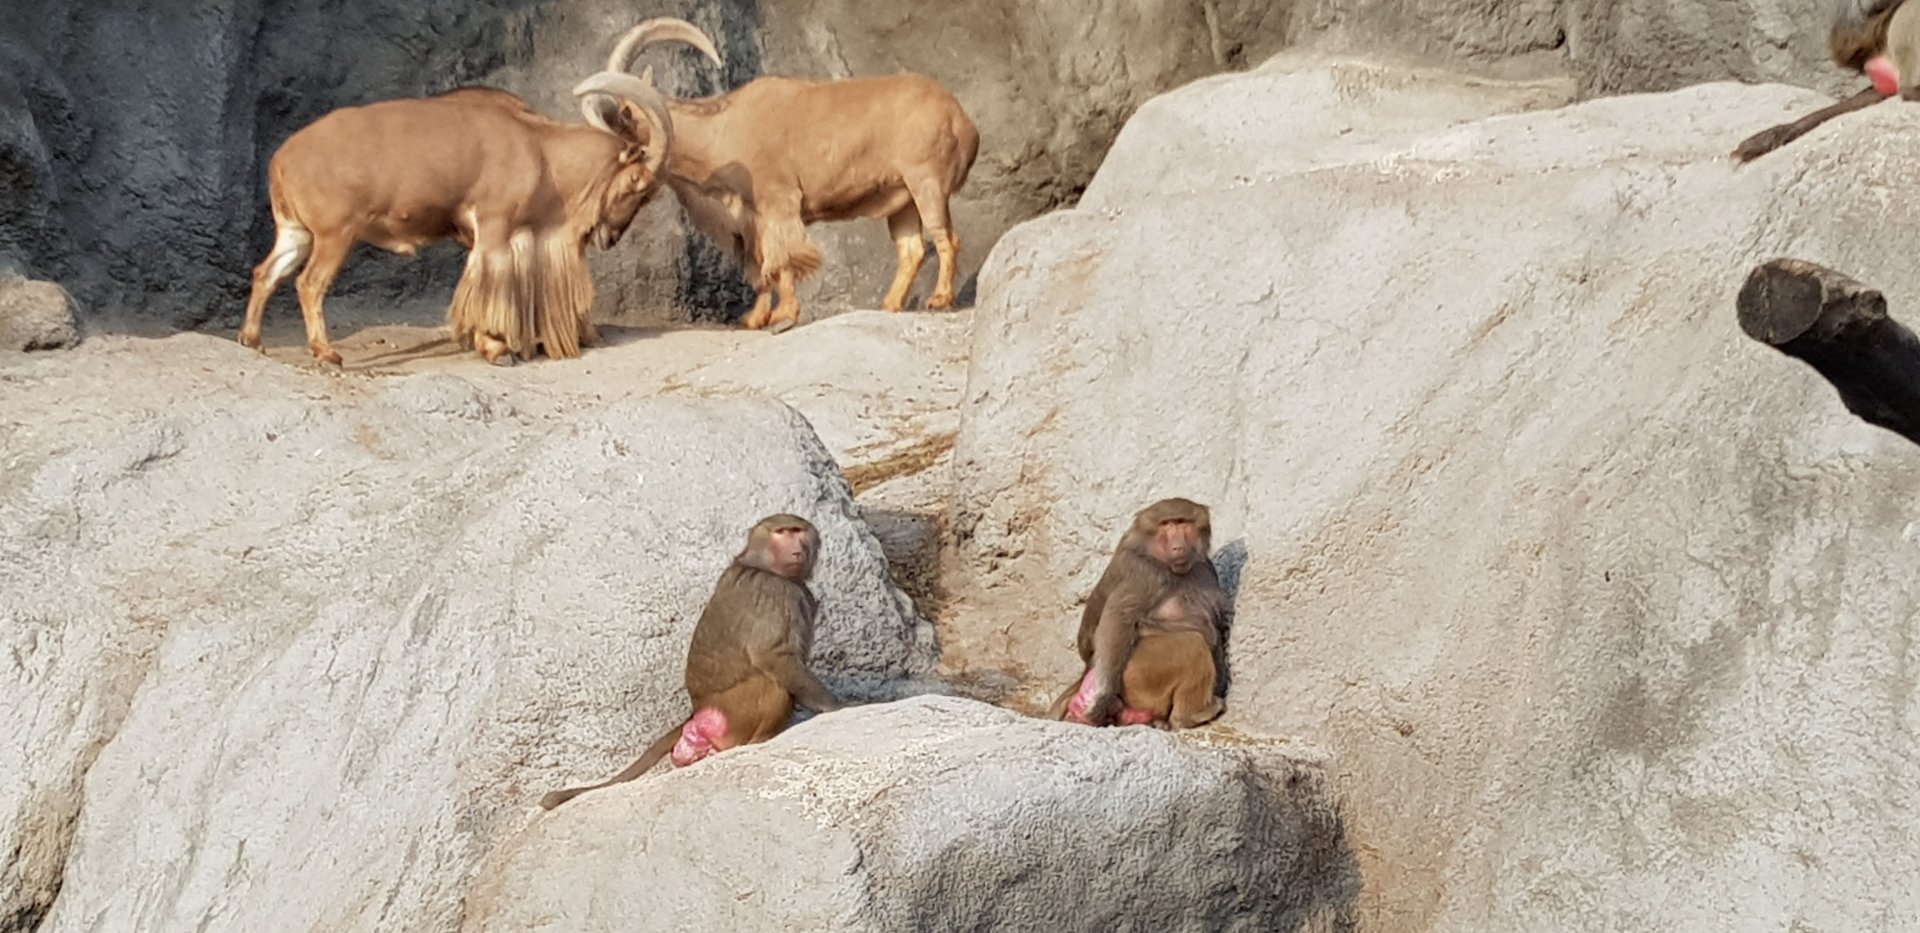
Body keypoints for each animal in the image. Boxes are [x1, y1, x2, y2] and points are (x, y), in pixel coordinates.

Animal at [236, 32, 708, 366]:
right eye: (638, 185)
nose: (608, 237)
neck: (539, 150)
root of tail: (281, 162)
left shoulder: (475, 235)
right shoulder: (496, 226)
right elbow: (490, 284)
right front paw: (499, 349)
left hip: (296, 232)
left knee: (266, 272)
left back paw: (252, 340)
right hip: (335, 235)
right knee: (309, 283)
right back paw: (326, 353)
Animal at [607, 19, 981, 330]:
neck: (722, 131)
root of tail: (962, 121)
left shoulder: (778, 201)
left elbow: (782, 259)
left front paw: (783, 315)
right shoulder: (751, 217)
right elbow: (759, 264)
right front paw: (755, 318)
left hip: (926, 182)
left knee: (946, 238)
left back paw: (939, 299)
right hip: (901, 200)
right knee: (912, 249)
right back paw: (888, 305)